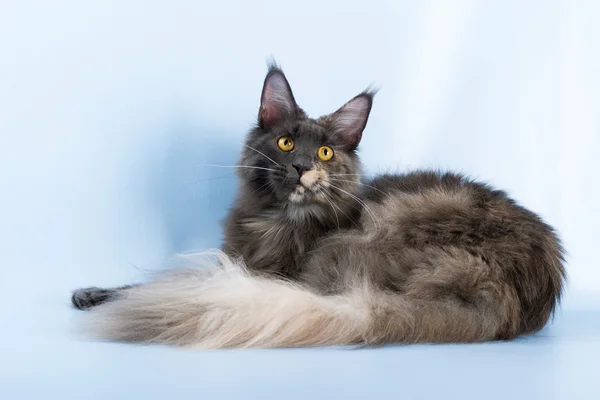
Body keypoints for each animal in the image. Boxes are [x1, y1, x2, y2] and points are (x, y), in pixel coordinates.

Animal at [72, 62, 564, 346]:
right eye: (286, 143)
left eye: (326, 152)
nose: (303, 167)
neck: (276, 218)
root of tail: (504, 299)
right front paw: (91, 292)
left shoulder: (268, 269)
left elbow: (155, 283)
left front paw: (102, 296)